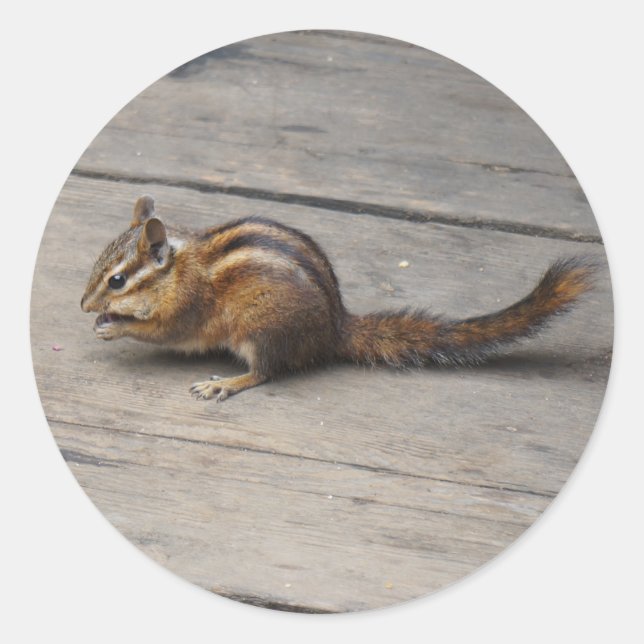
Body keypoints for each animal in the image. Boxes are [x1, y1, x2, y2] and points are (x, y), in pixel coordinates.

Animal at [81, 195, 595, 402]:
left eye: (117, 280)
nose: (84, 305)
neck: (179, 268)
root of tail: (333, 329)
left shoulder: (185, 309)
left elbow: (164, 331)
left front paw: (114, 325)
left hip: (262, 330)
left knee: (267, 372)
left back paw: (226, 383)